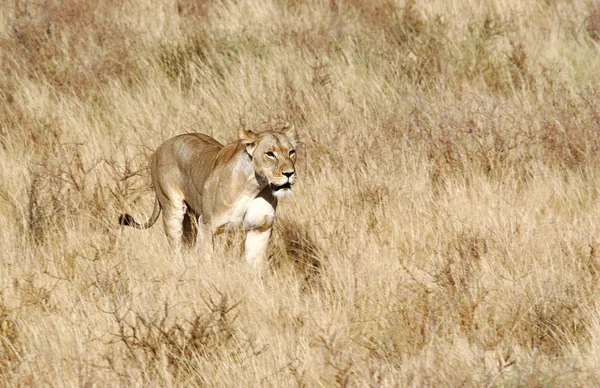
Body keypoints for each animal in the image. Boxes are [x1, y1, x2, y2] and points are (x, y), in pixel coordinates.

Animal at [120, 122, 298, 272]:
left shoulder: (261, 228)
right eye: (270, 154)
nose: (290, 173)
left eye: (291, 152)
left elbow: (255, 265)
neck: (253, 187)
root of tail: (162, 146)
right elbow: (206, 260)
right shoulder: (207, 224)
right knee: (175, 248)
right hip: (172, 208)